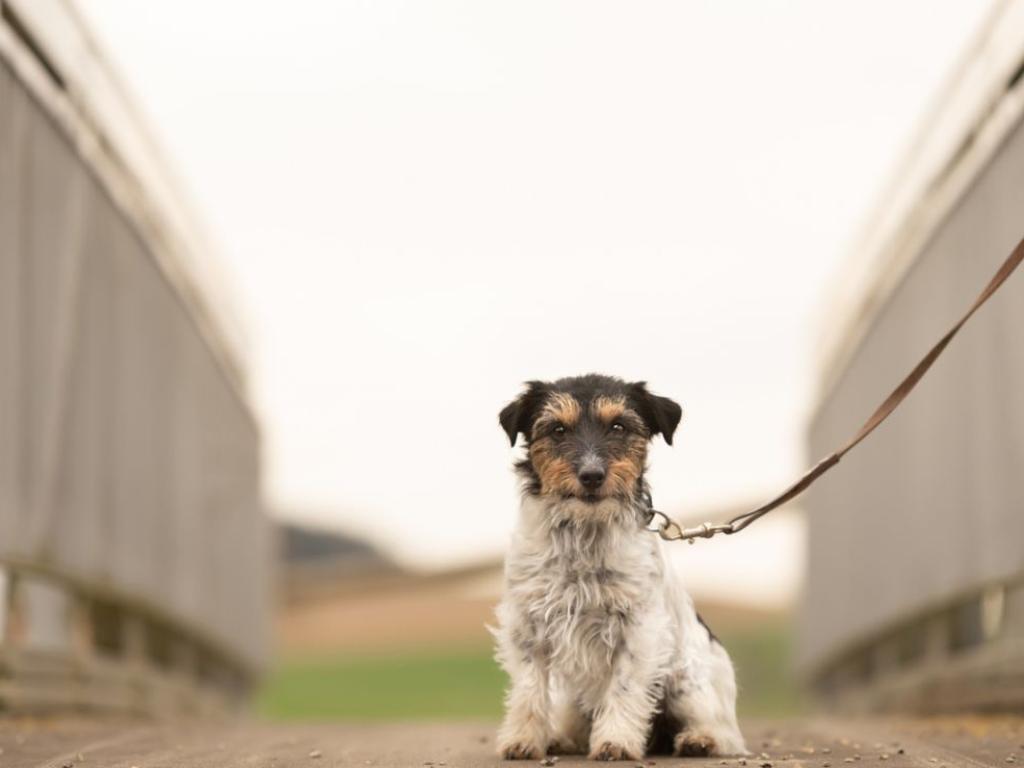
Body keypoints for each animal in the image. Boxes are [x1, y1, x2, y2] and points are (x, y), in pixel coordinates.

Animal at [493, 374, 745, 765]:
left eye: (619, 426)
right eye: (557, 429)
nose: (592, 475)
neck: (584, 533)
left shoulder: (639, 629)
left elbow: (624, 688)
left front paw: (616, 742)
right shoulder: (527, 625)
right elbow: (529, 689)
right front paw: (522, 740)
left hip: (687, 683)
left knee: (725, 732)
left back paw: (700, 740)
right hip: (574, 701)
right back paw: (561, 739)